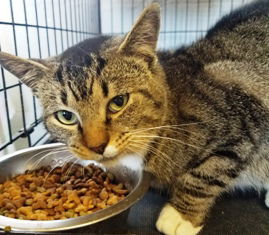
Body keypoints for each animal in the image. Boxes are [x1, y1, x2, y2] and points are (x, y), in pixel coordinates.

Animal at [1, 0, 268, 233]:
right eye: (66, 116)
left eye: (118, 102)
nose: (97, 146)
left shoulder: (243, 114)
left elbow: (206, 173)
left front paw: (181, 216)